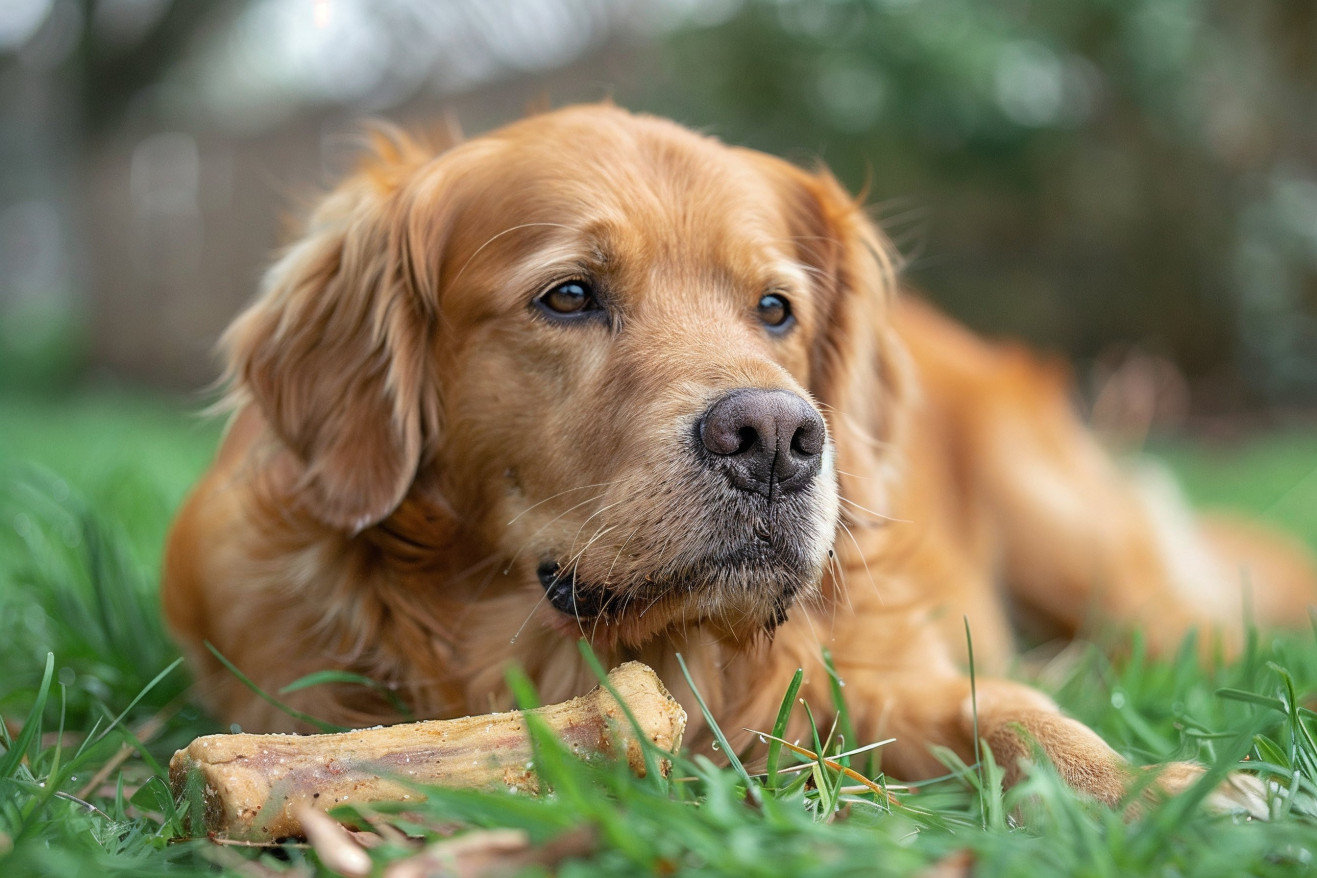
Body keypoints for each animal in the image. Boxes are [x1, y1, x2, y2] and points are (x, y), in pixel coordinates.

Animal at [164, 104, 1317, 810]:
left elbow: (1010, 710)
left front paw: (1173, 793)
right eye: (568, 295)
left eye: (774, 308)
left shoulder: (884, 674)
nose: (775, 438)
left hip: (1080, 546)